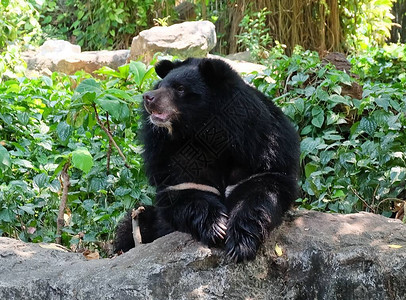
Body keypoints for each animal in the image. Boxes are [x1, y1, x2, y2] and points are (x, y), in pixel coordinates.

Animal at [113, 57, 298, 262]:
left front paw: (240, 244)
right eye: (160, 85)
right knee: (131, 226)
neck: (203, 132)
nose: (148, 97)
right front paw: (217, 227)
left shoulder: (260, 146)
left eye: (180, 88)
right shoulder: (168, 153)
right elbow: (186, 190)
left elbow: (261, 190)